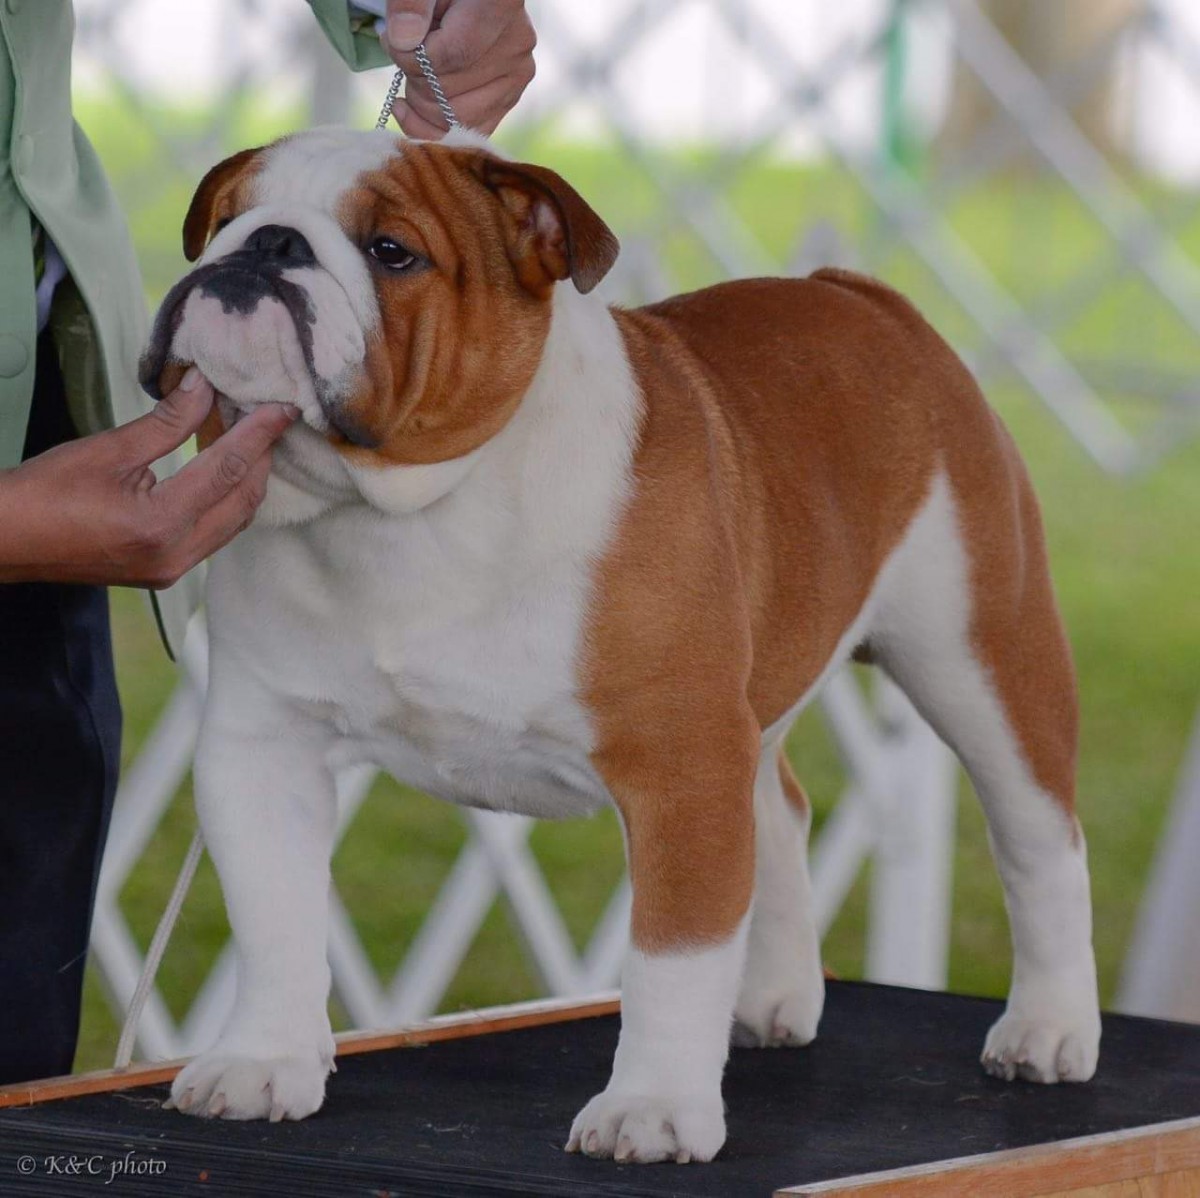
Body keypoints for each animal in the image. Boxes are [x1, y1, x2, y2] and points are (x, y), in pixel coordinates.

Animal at [138, 129, 1099, 1161]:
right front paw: (261, 1061)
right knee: (781, 812)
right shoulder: (262, 750)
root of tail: (862, 295)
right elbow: (274, 917)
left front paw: (654, 1106)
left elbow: (673, 957)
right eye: (226, 217)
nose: (265, 244)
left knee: (1039, 841)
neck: (407, 510)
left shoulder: (681, 764)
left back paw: (1048, 1028)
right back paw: (772, 998)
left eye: (392, 252)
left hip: (981, 655)